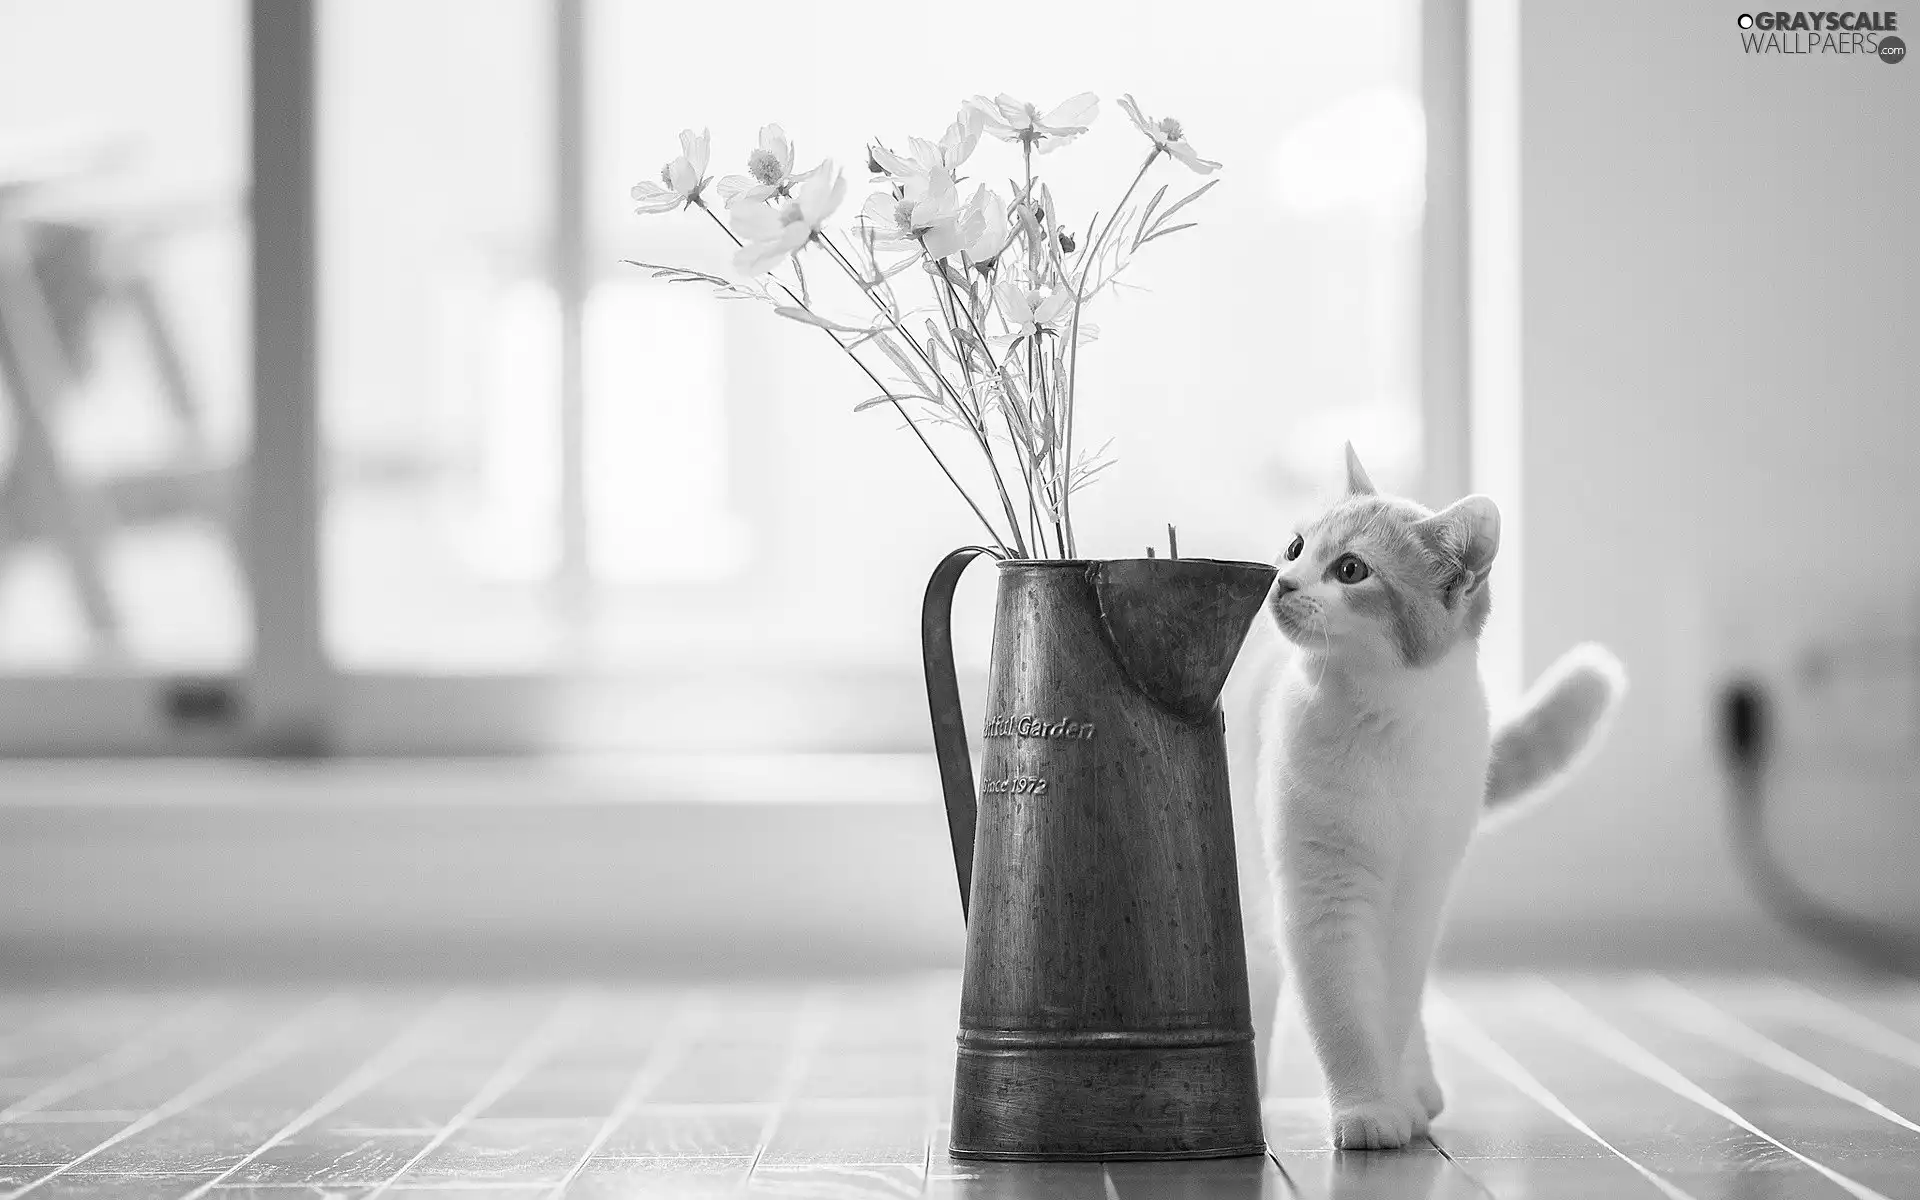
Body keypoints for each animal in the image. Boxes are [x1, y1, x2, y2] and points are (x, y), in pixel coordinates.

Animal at [1251, 445, 1628, 1144]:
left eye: (1350, 569)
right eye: (1294, 547)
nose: (1282, 582)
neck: (1383, 725)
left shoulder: (1415, 898)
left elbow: (1392, 1005)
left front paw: (1389, 1096)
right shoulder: (1322, 897)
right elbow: (1345, 1012)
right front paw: (1367, 1107)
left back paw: (1415, 1086)